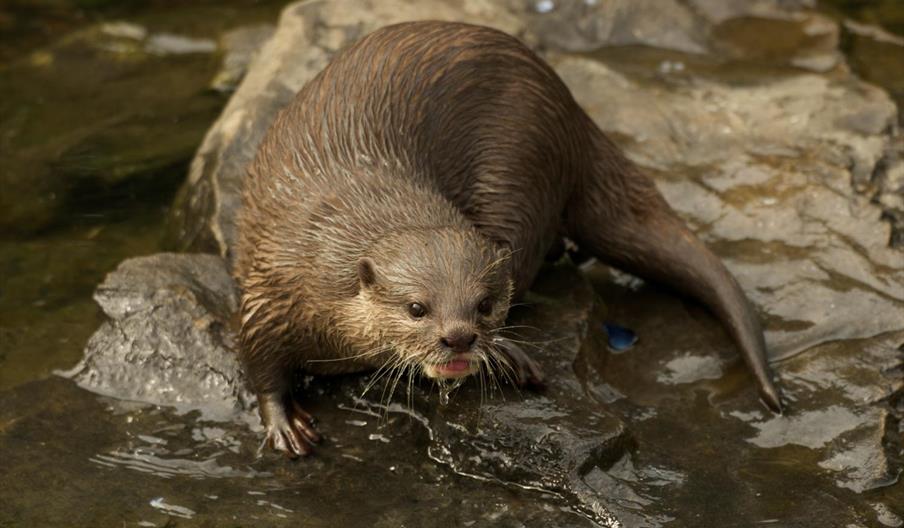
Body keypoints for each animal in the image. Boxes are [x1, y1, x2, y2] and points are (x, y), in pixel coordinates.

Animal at [235, 20, 784, 458]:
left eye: (482, 304)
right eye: (416, 308)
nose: (459, 336)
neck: (325, 256)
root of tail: (570, 109)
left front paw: (508, 351)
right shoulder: (273, 288)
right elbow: (258, 357)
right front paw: (284, 424)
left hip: (520, 168)